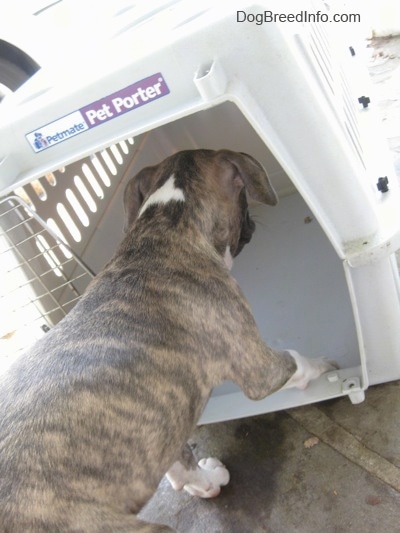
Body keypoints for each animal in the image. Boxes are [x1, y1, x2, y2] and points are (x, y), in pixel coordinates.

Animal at [0, 148, 338, 528]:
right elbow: (299, 361)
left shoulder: (161, 424)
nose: (252, 224)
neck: (164, 225)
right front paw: (326, 367)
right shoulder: (260, 368)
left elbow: (180, 463)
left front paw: (204, 482)